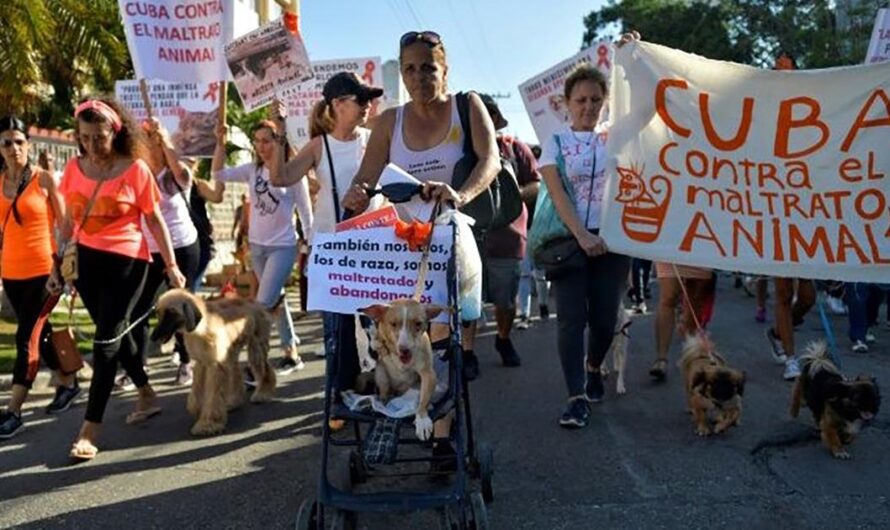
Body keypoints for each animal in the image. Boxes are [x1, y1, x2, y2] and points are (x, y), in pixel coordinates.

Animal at [149, 288, 276, 434]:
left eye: (172, 313)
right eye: (158, 313)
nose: (153, 337)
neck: (199, 330)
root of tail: (255, 302)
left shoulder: (215, 364)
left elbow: (213, 396)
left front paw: (208, 424)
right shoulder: (201, 362)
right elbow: (197, 388)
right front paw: (196, 407)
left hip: (256, 345)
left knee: (264, 368)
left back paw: (263, 393)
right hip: (230, 352)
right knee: (236, 373)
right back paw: (234, 401)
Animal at [360, 300, 444, 440]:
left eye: (418, 324)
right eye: (393, 324)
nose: (405, 349)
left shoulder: (428, 374)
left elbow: (424, 399)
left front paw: (422, 419)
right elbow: (377, 340)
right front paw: (375, 337)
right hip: (381, 374)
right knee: (384, 393)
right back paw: (380, 403)